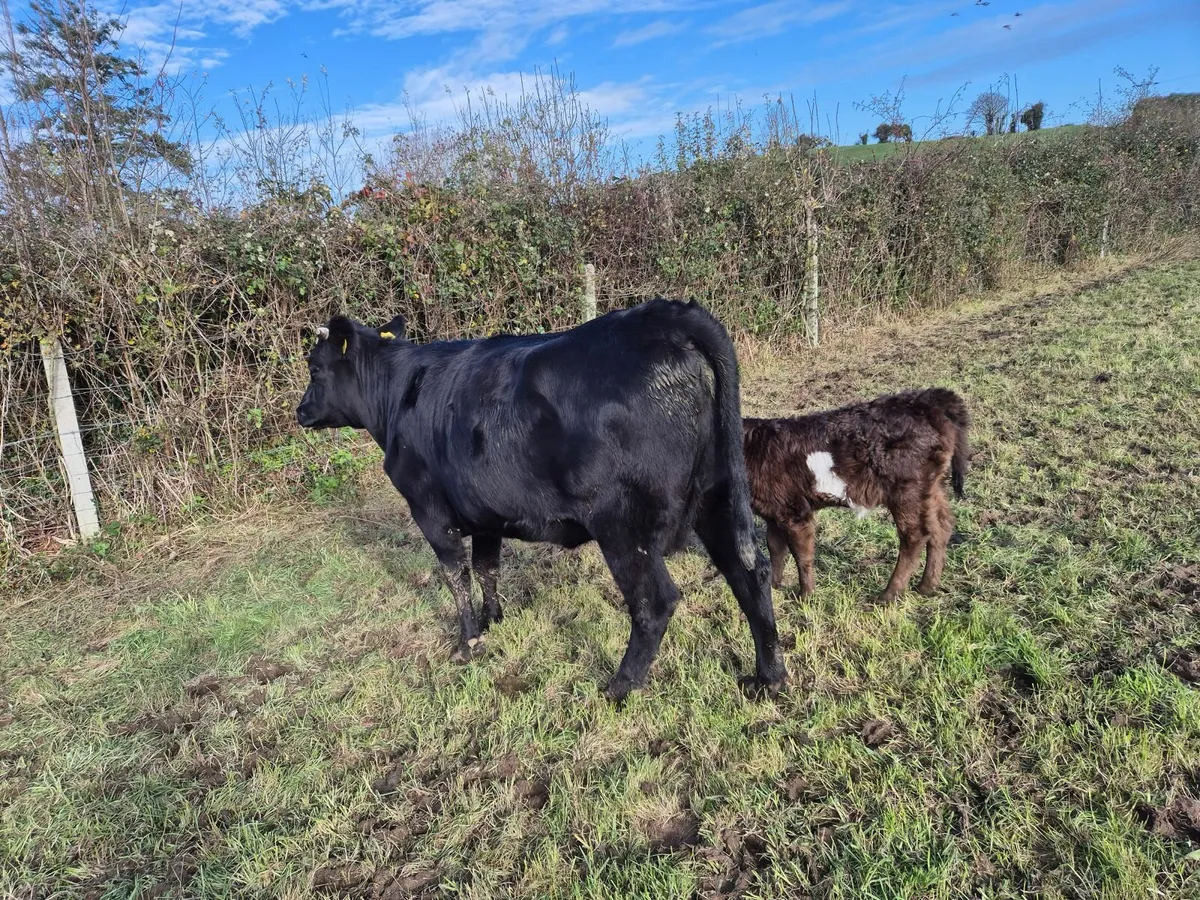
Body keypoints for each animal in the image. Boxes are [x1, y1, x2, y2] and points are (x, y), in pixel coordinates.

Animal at [296, 299, 788, 701]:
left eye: (315, 368)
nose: (300, 411)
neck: (401, 393)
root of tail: (663, 315)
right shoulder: (486, 514)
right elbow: (488, 567)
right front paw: (495, 620)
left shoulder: (430, 512)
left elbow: (457, 577)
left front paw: (467, 643)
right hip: (716, 496)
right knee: (750, 574)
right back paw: (769, 677)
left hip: (623, 523)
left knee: (655, 602)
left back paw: (618, 687)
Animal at [742, 388, 970, 602]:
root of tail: (928, 400)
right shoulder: (773, 512)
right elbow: (775, 548)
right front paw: (773, 587)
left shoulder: (795, 512)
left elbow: (801, 555)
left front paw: (805, 595)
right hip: (931, 487)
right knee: (941, 526)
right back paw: (927, 587)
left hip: (907, 490)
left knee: (915, 536)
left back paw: (889, 595)